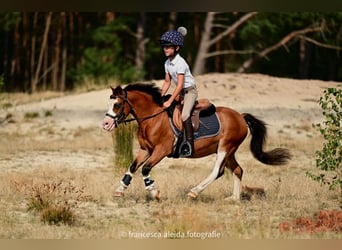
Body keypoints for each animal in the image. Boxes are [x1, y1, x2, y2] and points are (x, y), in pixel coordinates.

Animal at [102, 83, 292, 200]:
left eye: (117, 105)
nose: (105, 124)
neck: (153, 118)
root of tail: (241, 117)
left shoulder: (161, 150)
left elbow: (146, 169)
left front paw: (154, 192)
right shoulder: (145, 149)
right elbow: (132, 167)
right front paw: (120, 190)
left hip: (225, 147)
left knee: (217, 172)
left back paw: (194, 192)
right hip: (229, 151)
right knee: (238, 170)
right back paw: (234, 199)